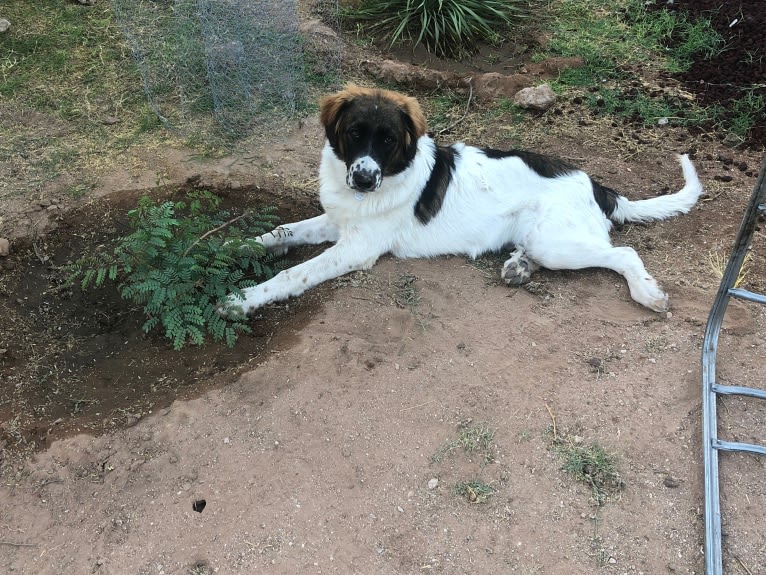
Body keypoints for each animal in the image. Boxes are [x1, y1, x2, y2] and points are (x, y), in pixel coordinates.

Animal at [220, 84, 704, 316]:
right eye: (355, 134)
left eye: (389, 140)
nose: (364, 179)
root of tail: (597, 184)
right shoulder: (337, 222)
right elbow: (279, 231)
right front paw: (231, 246)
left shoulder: (357, 247)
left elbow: (293, 274)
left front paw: (243, 299)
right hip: (544, 238)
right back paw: (519, 266)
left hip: (557, 241)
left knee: (623, 253)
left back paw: (646, 293)